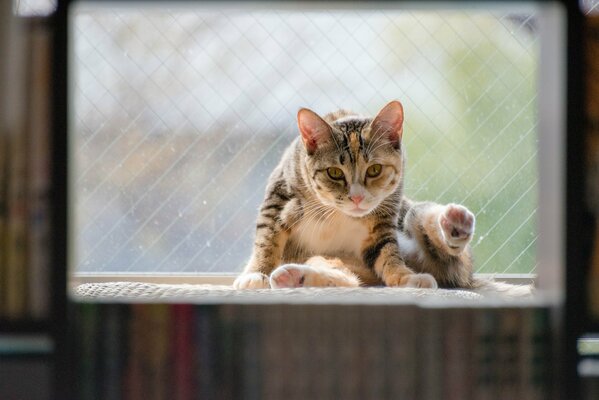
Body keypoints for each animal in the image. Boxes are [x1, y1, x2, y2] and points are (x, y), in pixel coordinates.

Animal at [234, 99, 478, 288]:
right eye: (334, 172)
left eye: (375, 169)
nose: (357, 197)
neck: (337, 214)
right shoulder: (279, 195)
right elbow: (267, 238)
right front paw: (256, 274)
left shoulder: (383, 220)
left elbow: (387, 252)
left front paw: (404, 277)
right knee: (345, 277)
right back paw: (293, 277)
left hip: (409, 217)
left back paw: (455, 223)